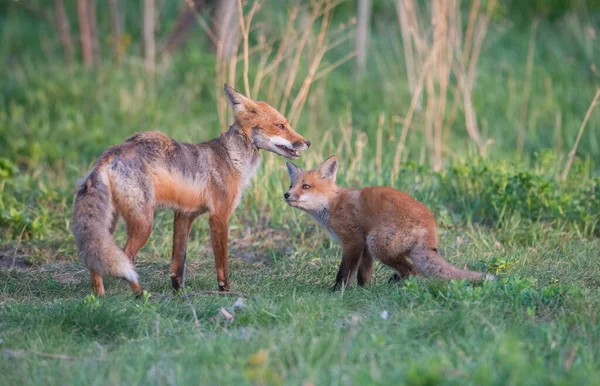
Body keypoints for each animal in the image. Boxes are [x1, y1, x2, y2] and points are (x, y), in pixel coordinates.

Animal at [71, 83, 310, 296]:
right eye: (280, 126)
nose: (307, 142)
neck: (232, 159)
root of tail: (110, 153)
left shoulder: (184, 215)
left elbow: (178, 265)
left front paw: (180, 294)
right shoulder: (219, 216)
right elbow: (222, 265)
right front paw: (225, 292)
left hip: (109, 225)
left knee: (95, 259)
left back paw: (100, 297)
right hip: (144, 223)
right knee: (126, 258)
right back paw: (140, 295)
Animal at [284, 155, 494, 288]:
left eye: (306, 186)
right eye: (291, 185)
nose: (286, 195)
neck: (334, 205)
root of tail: (430, 226)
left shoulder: (354, 241)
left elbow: (344, 272)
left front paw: (337, 291)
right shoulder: (364, 247)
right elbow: (364, 272)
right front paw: (364, 290)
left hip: (378, 244)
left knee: (411, 269)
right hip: (383, 246)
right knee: (411, 269)